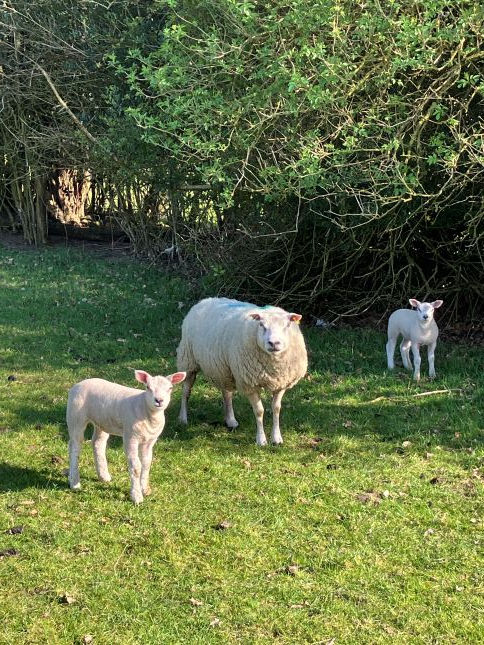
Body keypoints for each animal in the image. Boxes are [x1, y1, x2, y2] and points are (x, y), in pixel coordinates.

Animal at [67, 369, 186, 504]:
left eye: (170, 388)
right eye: (148, 387)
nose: (159, 400)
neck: (145, 409)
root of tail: (77, 385)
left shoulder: (150, 441)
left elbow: (146, 463)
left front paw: (145, 489)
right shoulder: (130, 437)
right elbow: (136, 466)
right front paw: (136, 496)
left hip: (102, 422)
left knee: (98, 443)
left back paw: (104, 476)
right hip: (76, 416)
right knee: (74, 448)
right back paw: (74, 482)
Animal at [176, 297, 308, 446]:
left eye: (287, 325)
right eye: (261, 325)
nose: (274, 343)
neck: (273, 366)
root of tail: (206, 300)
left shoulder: (281, 383)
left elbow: (276, 409)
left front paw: (276, 438)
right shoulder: (249, 384)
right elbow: (259, 411)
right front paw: (261, 440)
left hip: (224, 368)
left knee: (227, 393)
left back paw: (231, 420)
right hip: (188, 359)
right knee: (186, 391)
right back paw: (183, 419)